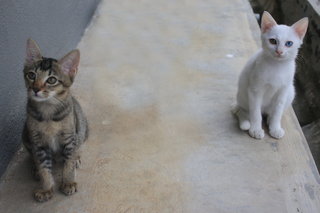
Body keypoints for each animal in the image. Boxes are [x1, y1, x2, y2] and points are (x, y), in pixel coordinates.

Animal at [22, 39, 88, 202]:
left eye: (51, 80)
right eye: (31, 75)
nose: (35, 89)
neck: (48, 114)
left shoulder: (69, 138)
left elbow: (69, 163)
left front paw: (69, 182)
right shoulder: (38, 144)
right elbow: (44, 169)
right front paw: (46, 188)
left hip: (81, 128)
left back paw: (77, 157)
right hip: (25, 134)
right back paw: (35, 168)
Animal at [234, 10, 308, 139]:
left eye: (289, 43)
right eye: (273, 41)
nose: (279, 51)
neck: (277, 66)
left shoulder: (283, 91)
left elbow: (277, 112)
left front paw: (275, 128)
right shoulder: (255, 91)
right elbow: (255, 113)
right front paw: (256, 129)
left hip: (290, 92)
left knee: (272, 112)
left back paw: (269, 119)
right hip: (242, 96)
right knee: (240, 110)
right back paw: (245, 122)